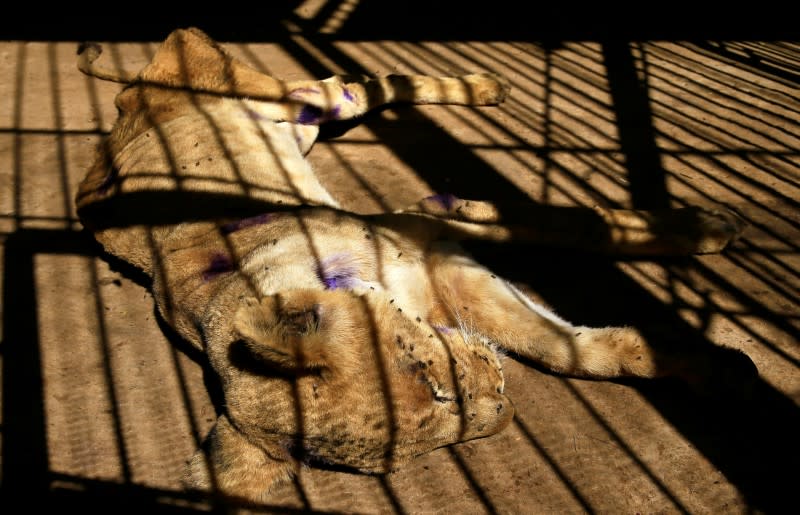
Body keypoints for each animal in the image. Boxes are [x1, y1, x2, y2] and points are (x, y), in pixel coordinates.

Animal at [76, 27, 756, 504]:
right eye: (414, 454)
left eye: (427, 376)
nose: (505, 406)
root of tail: (126, 97)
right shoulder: (448, 272)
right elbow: (568, 350)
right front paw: (712, 366)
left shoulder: (423, 228)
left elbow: (578, 241)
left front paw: (706, 232)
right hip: (304, 126)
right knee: (367, 84)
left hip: (285, 96)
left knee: (365, 82)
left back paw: (485, 86)